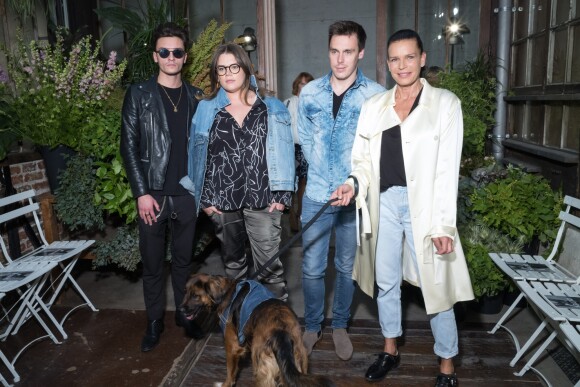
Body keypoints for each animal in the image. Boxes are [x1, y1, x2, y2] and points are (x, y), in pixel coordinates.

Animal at [180, 274, 336, 387]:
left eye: (195, 296)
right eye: (185, 292)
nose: (181, 310)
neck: (227, 291)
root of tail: (281, 333)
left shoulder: (232, 347)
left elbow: (230, 373)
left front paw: (225, 383)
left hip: (262, 371)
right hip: (298, 364)